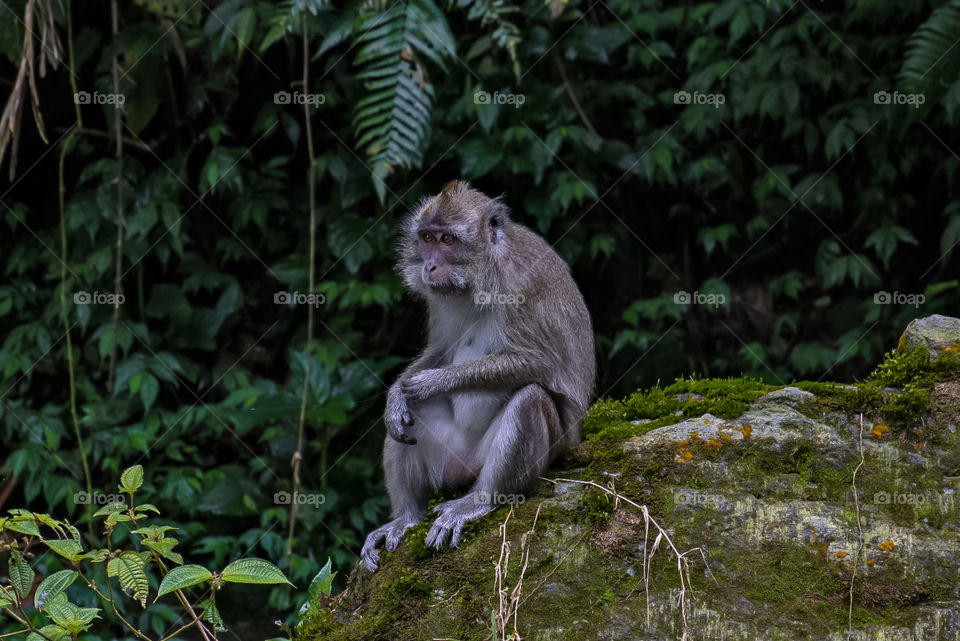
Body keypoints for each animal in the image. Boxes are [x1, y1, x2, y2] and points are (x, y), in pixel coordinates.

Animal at [361, 180, 595, 572]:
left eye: (448, 240)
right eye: (427, 237)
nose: (429, 265)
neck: (481, 276)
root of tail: (465, 470)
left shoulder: (523, 285)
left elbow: (540, 363)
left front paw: (433, 382)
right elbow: (439, 351)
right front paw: (395, 395)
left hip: (542, 452)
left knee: (530, 398)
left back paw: (479, 501)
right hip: (446, 456)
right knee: (412, 417)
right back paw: (406, 516)